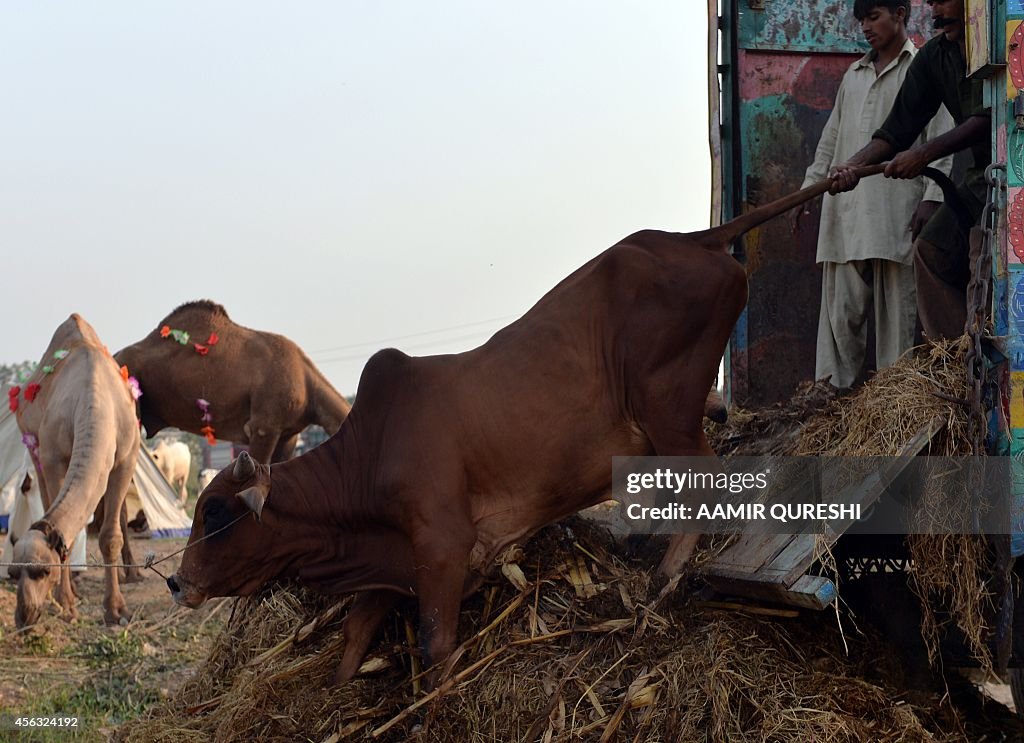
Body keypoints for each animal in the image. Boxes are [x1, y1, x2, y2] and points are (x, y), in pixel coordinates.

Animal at [11, 315, 140, 630]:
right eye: (13, 574)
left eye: (43, 571)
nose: (24, 616)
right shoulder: (53, 457)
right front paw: (66, 605)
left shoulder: (126, 458)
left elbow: (110, 536)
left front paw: (116, 610)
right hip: (33, 444)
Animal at [169, 171, 864, 683]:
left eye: (217, 512)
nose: (177, 580)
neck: (363, 464)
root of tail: (695, 238)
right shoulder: (393, 567)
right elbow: (351, 643)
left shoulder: (443, 550)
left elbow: (436, 649)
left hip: (667, 409)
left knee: (710, 481)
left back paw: (663, 585)